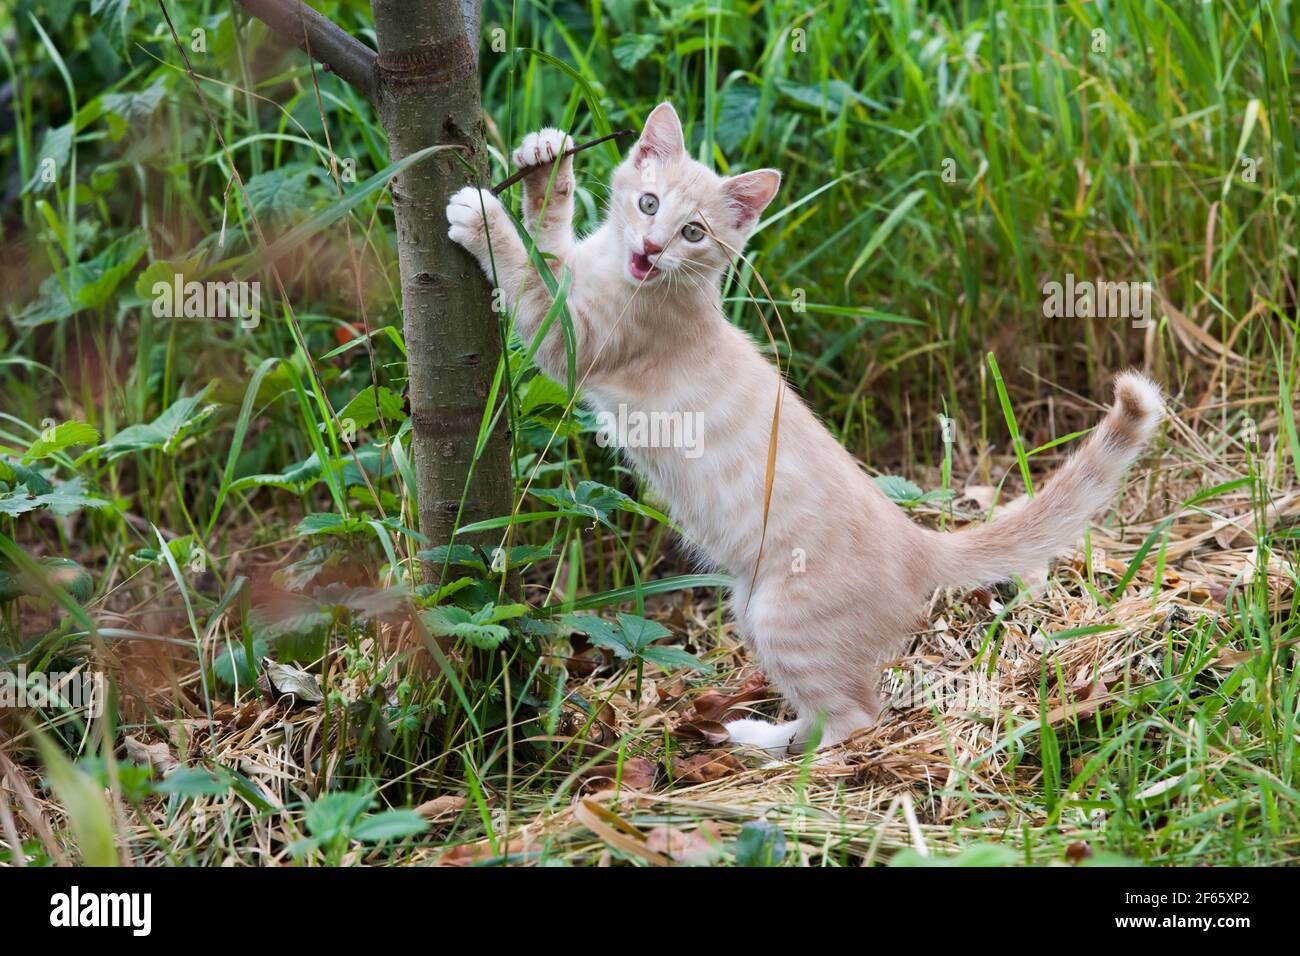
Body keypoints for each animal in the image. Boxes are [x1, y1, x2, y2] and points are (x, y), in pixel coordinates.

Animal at [449, 102, 1170, 754]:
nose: (651, 248)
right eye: (648, 204)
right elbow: (548, 246)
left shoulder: (577, 344)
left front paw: (483, 218)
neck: (637, 279)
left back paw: (767, 744)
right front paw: (546, 161)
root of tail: (916, 541)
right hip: (747, 606)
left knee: (854, 718)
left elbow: (529, 281)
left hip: (783, 618)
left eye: (694, 233)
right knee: (833, 708)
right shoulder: (578, 283)